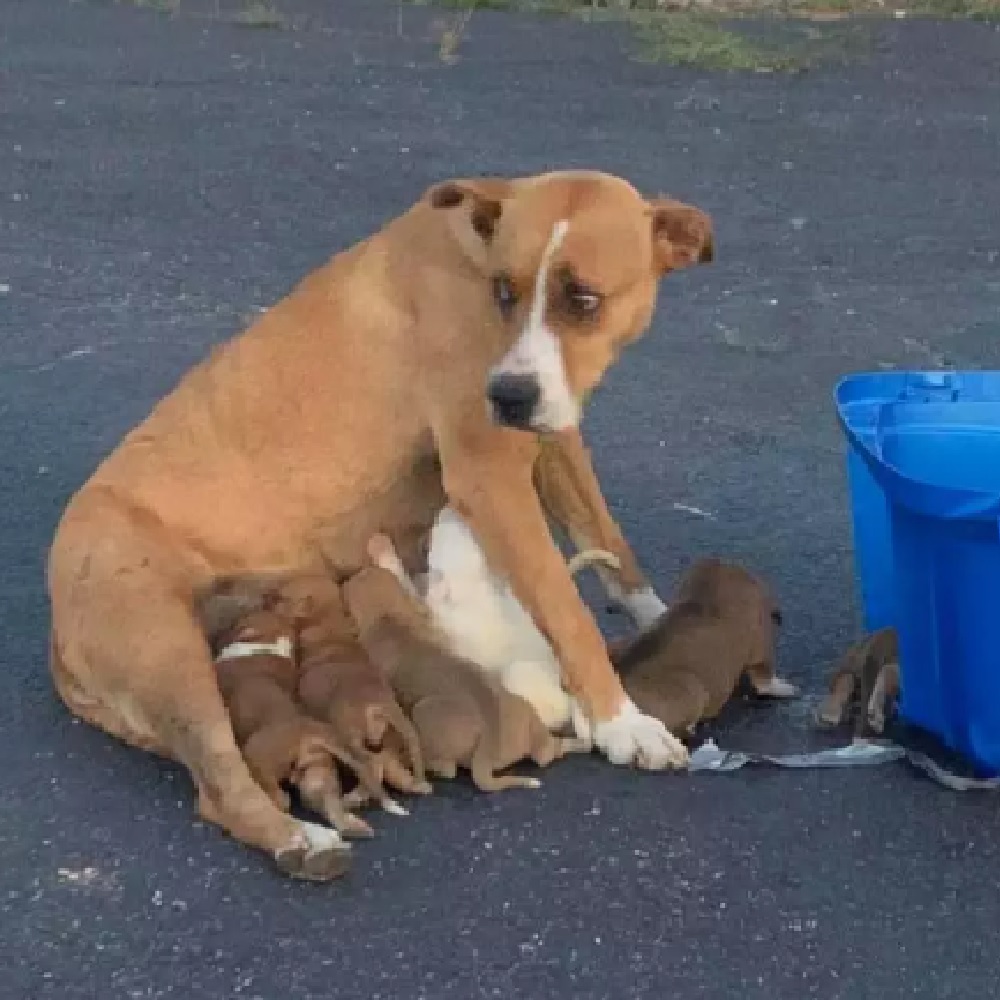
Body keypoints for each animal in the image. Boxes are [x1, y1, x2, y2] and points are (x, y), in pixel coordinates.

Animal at [276, 572, 428, 812]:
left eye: (281, 597)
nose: (266, 599)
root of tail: (378, 704)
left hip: (349, 736)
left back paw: (360, 798)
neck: (329, 622)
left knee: (369, 763)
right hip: (392, 733)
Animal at [344, 544, 584, 792]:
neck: (388, 618)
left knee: (448, 769)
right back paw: (573, 744)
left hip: (432, 708)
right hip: (522, 712)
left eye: (353, 582)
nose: (352, 573)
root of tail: (488, 747)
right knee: (545, 753)